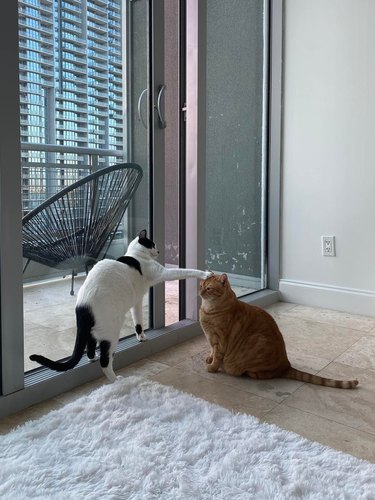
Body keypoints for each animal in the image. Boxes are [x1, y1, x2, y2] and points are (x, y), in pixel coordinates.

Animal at [29, 230, 212, 382]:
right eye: (153, 244)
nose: (159, 251)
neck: (135, 256)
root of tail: (83, 305)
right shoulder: (162, 273)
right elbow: (186, 270)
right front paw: (206, 273)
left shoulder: (136, 301)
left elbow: (138, 321)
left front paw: (141, 337)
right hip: (111, 332)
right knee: (105, 361)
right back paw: (115, 379)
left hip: (94, 331)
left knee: (90, 347)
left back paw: (93, 357)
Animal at [198, 272, 360, 388]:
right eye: (200, 286)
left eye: (209, 288)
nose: (200, 293)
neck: (207, 309)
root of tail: (286, 365)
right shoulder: (211, 338)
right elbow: (212, 350)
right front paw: (209, 358)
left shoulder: (220, 339)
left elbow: (218, 355)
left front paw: (212, 367)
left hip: (257, 341)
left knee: (265, 374)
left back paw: (246, 372)